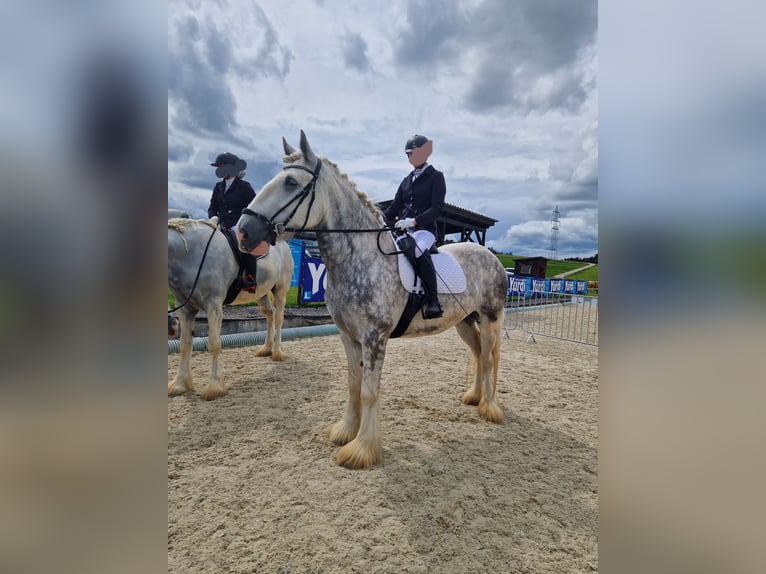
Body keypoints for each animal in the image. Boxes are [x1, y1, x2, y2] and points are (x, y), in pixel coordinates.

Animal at [168, 218, 294, 402]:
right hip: (261, 293)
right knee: (269, 315)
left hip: (280, 291)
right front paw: (180, 384)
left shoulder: (213, 305)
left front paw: (214, 387)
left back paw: (277, 352)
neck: (190, 255)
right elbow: (184, 345)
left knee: (278, 319)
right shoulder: (185, 310)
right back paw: (266, 348)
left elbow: (214, 344)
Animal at [237, 133, 508, 470]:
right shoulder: (348, 336)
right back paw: (474, 398)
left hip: (490, 318)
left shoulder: (374, 337)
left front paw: (362, 450)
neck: (359, 258)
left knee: (490, 358)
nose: (243, 232)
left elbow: (369, 391)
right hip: (464, 322)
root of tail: (490, 256)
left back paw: (490, 408)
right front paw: (345, 431)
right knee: (479, 354)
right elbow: (354, 385)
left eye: (290, 182)